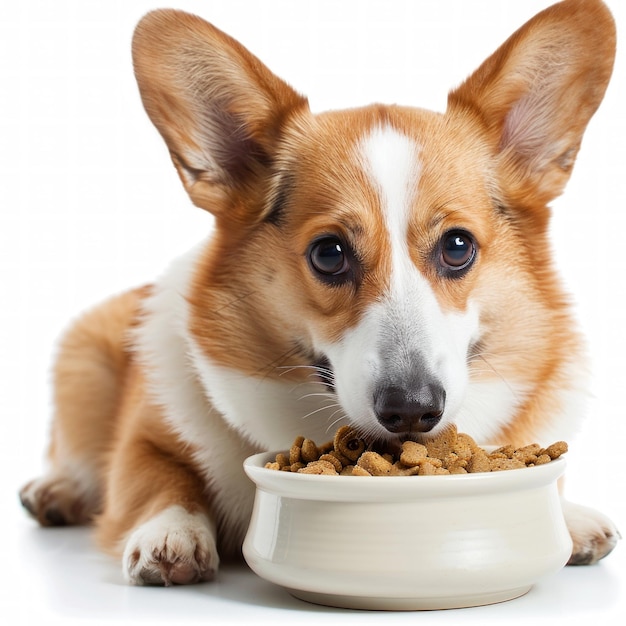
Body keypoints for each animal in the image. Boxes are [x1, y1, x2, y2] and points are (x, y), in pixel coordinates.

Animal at [20, 0, 620, 584]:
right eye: (329, 253)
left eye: (457, 246)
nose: (412, 411)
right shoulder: (143, 438)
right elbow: (156, 477)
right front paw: (171, 533)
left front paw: (571, 519)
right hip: (83, 362)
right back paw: (55, 490)